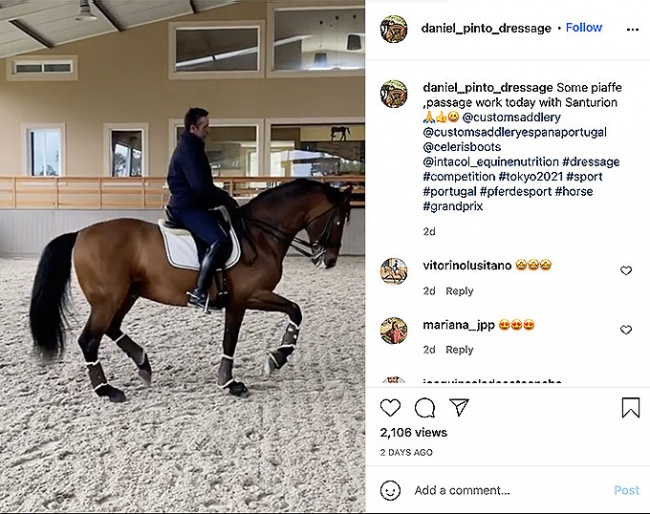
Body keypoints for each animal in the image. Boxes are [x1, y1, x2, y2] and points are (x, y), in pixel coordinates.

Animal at [27, 179, 352, 400]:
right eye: (338, 219)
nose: (330, 260)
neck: (260, 235)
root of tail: (80, 234)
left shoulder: (247, 299)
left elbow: (288, 314)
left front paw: (270, 360)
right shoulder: (246, 298)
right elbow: (242, 334)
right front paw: (251, 372)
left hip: (125, 295)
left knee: (111, 328)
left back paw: (143, 364)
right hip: (108, 300)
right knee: (89, 339)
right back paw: (107, 389)